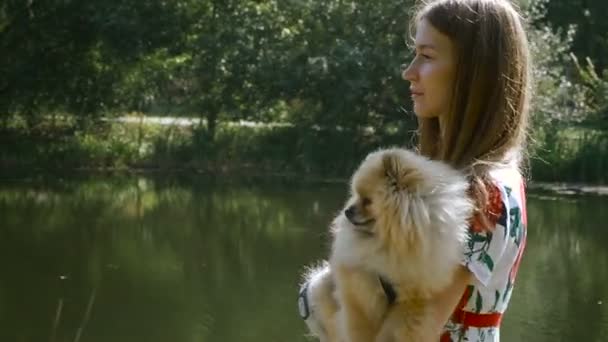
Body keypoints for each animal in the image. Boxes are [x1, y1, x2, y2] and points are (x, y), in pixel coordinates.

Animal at [302, 148, 472, 342]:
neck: (392, 243)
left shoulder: (414, 301)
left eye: (367, 201)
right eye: (356, 195)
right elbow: (361, 329)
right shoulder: (361, 292)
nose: (347, 211)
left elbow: (402, 330)